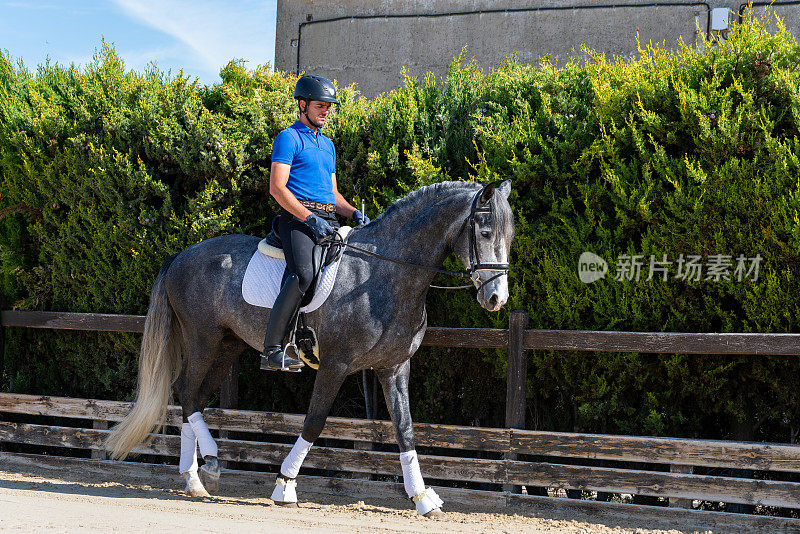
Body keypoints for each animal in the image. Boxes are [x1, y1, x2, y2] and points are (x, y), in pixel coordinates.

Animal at [104, 180, 512, 520]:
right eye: (485, 232)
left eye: (509, 236)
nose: (497, 299)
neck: (384, 274)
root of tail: (181, 256)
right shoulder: (336, 365)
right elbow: (314, 422)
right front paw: (285, 486)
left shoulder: (394, 367)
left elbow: (405, 430)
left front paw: (423, 499)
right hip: (202, 339)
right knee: (187, 391)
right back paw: (205, 470)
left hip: (226, 346)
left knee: (194, 397)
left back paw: (198, 478)